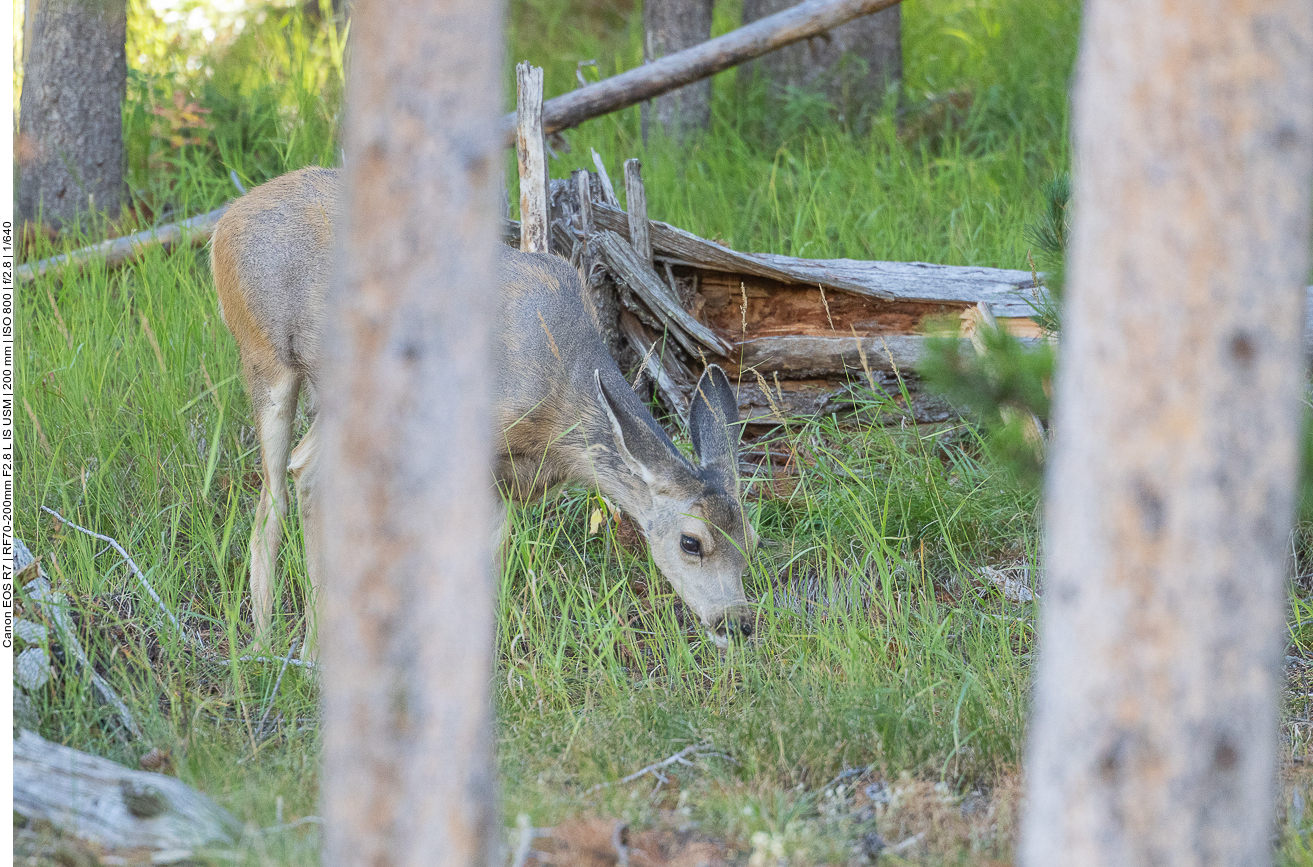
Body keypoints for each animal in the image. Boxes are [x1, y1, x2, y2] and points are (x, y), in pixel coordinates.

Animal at [212, 166, 761, 656]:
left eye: (750, 538)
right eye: (692, 542)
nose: (736, 624)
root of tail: (225, 224)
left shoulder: (505, 477)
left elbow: (488, 561)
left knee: (304, 474)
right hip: (264, 355)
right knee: (282, 488)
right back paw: (276, 643)